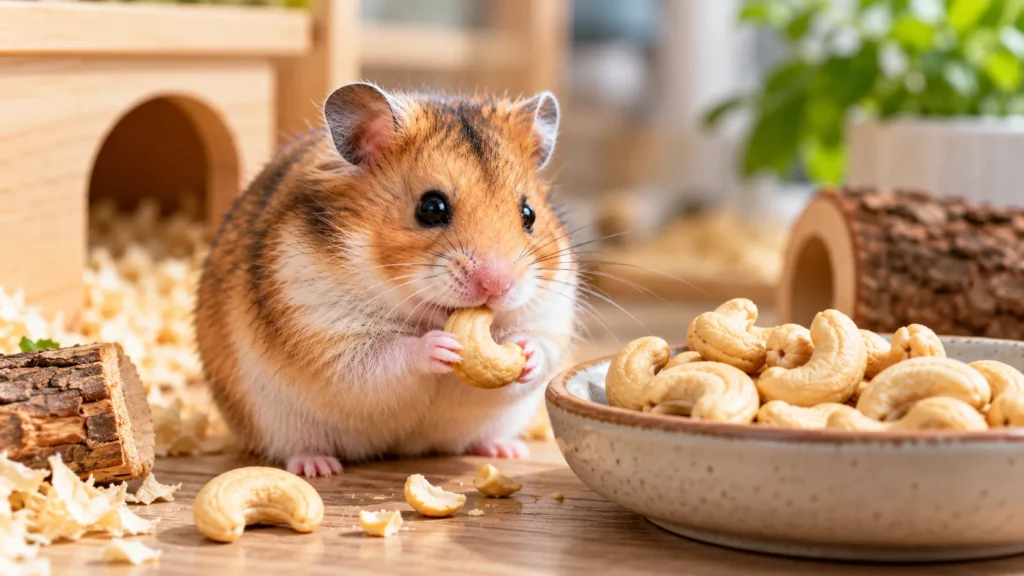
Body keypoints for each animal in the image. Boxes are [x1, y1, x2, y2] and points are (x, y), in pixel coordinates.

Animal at [194, 82, 581, 477]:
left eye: (529, 213)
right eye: (431, 208)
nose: (497, 285)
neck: (423, 314)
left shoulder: (550, 314)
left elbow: (540, 350)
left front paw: (525, 352)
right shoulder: (326, 330)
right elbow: (383, 357)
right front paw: (440, 346)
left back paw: (506, 450)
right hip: (280, 422)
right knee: (298, 446)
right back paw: (318, 467)